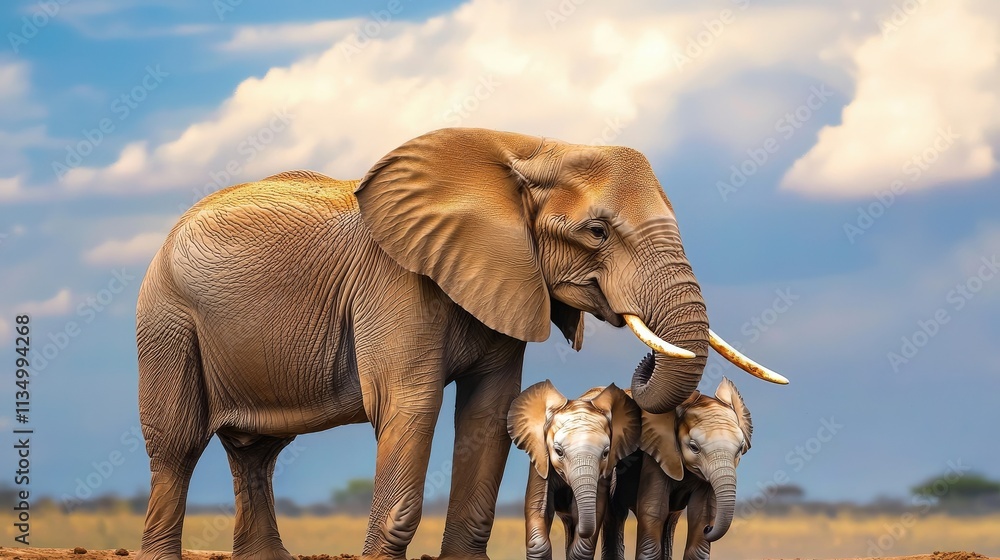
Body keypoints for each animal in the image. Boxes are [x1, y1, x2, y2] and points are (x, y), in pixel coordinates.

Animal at [602, 375, 753, 560]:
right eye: (694, 447)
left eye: (740, 449)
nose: (709, 529)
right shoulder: (656, 455)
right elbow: (653, 511)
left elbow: (701, 514)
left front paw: (703, 525)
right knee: (616, 512)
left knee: (670, 519)